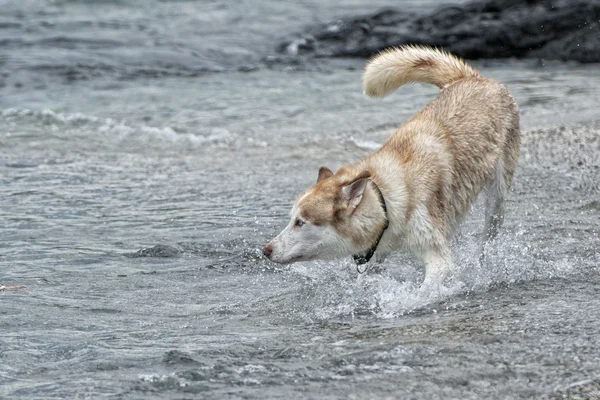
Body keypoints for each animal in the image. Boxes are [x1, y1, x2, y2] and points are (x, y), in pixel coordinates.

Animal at [262, 46, 520, 284]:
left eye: (300, 222)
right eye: (291, 219)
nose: (266, 250)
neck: (387, 198)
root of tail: (473, 78)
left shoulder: (437, 257)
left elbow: (422, 293)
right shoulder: (378, 252)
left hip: (496, 202)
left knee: (487, 237)